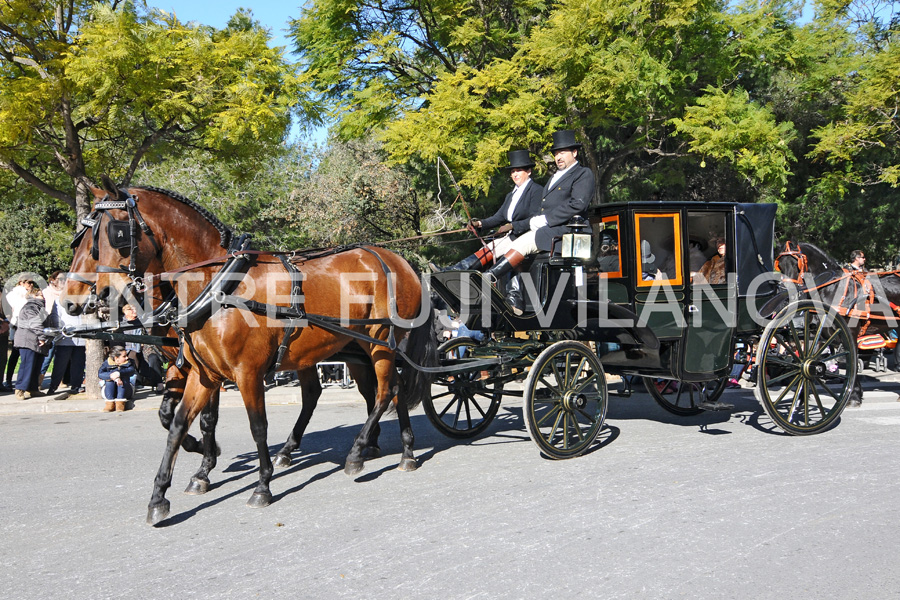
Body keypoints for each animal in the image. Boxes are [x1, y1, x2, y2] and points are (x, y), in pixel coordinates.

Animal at [60, 179, 436, 524]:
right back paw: (399, 449)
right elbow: (178, 423)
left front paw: (260, 485)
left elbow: (255, 426)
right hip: (355, 348)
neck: (218, 285)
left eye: (116, 233)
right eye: (85, 239)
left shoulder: (246, 373)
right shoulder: (203, 373)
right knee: (376, 391)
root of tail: (398, 260)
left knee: (386, 390)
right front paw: (162, 494)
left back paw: (360, 452)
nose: (81, 298)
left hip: (382, 341)